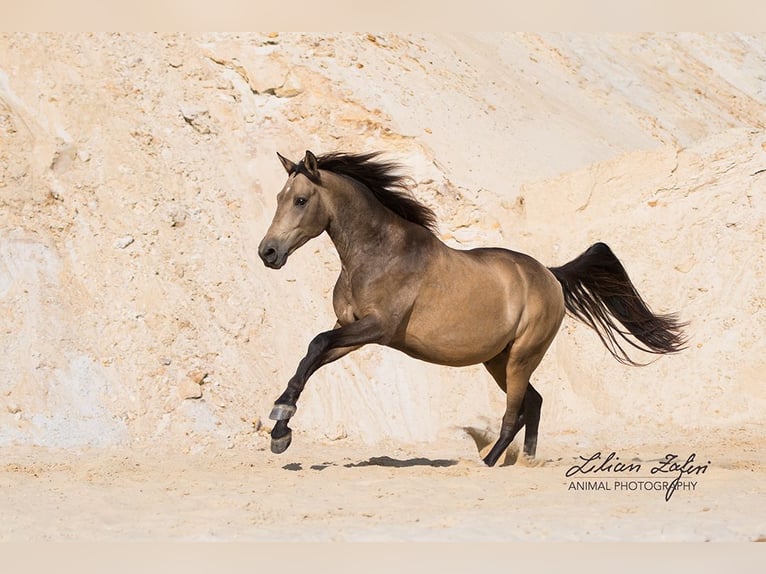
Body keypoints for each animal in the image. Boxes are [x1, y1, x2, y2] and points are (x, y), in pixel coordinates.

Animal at [258, 150, 688, 468]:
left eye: (300, 200)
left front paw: (280, 417)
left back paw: (489, 463)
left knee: (515, 412)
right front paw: (281, 430)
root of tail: (550, 275)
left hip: (521, 357)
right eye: (278, 198)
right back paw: (523, 461)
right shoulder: (352, 331)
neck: (379, 252)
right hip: (498, 360)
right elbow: (312, 356)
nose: (268, 253)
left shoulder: (377, 328)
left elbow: (316, 343)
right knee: (533, 403)